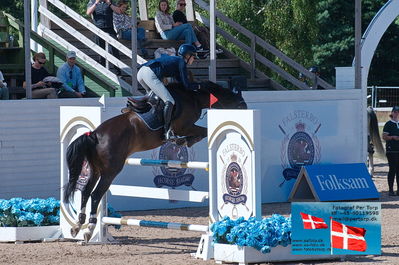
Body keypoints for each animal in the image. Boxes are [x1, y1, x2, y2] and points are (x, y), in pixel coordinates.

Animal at [63, 79, 247, 240]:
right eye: (240, 105)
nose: (243, 113)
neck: (193, 97)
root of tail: (94, 135)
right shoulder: (185, 126)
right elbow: (203, 132)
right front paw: (183, 141)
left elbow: (201, 132)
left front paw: (182, 141)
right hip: (110, 171)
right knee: (95, 194)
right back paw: (89, 229)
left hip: (95, 169)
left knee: (85, 191)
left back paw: (77, 226)